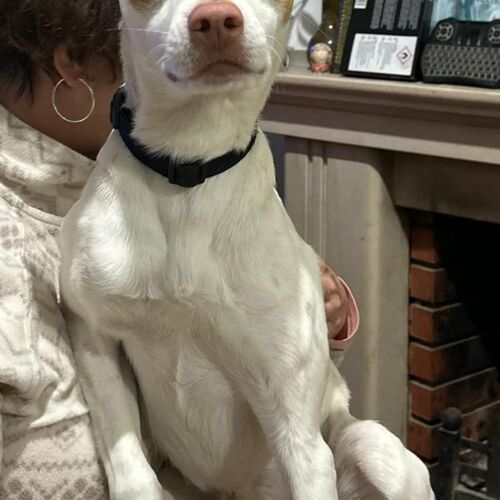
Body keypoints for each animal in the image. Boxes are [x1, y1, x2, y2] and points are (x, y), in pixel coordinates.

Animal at [60, 0, 435, 498]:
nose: (217, 20)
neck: (191, 165)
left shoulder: (297, 428)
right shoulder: (94, 332)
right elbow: (131, 469)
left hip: (376, 452)